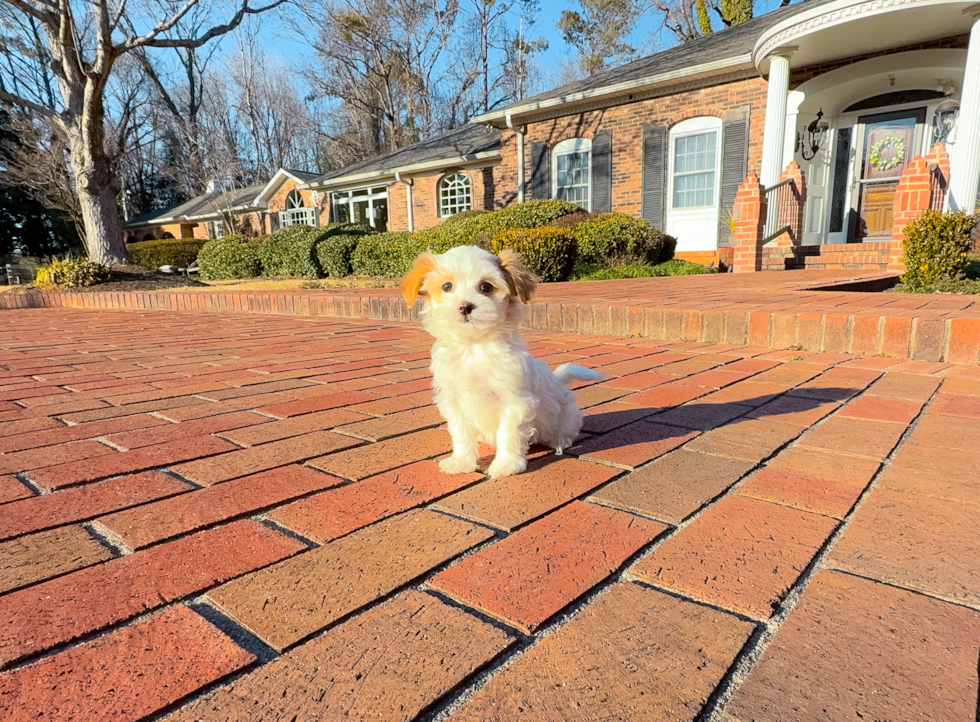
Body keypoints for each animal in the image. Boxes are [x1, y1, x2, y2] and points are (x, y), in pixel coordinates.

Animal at [400, 245, 600, 476]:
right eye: (447, 286)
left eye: (486, 286)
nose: (465, 306)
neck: (473, 347)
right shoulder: (453, 400)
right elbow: (460, 432)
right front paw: (461, 461)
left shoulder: (513, 400)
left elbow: (508, 432)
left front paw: (506, 465)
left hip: (565, 416)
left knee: (569, 428)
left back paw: (560, 440)